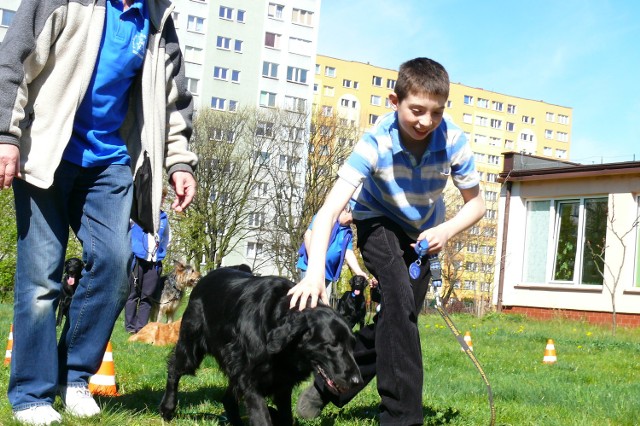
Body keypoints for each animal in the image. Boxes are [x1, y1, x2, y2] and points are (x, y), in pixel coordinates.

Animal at [159, 268, 362, 424]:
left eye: (353, 345)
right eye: (332, 345)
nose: (357, 382)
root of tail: (203, 279)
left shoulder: (282, 383)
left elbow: (285, 417)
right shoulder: (250, 378)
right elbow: (262, 417)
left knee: (228, 399)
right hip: (191, 349)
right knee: (174, 369)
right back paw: (167, 408)